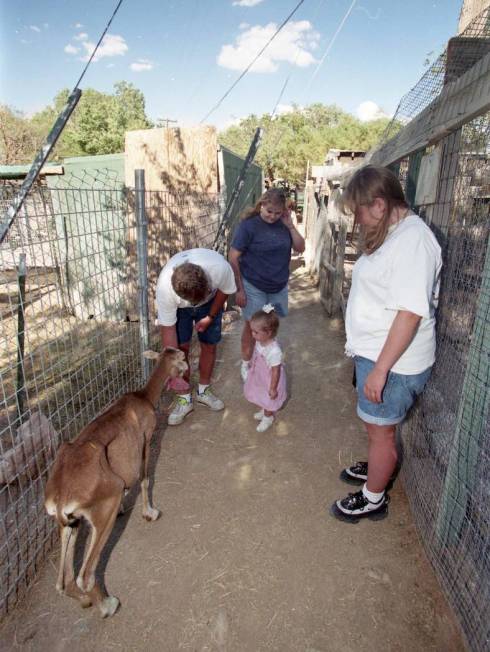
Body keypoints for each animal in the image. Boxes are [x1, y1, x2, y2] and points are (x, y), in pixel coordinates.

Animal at [44, 346, 188, 616]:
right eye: (181, 359)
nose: (185, 371)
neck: (143, 397)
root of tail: (58, 500)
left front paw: (126, 507)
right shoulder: (146, 440)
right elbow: (144, 478)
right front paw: (150, 513)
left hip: (69, 524)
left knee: (62, 581)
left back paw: (86, 601)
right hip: (102, 512)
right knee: (85, 574)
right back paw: (109, 605)